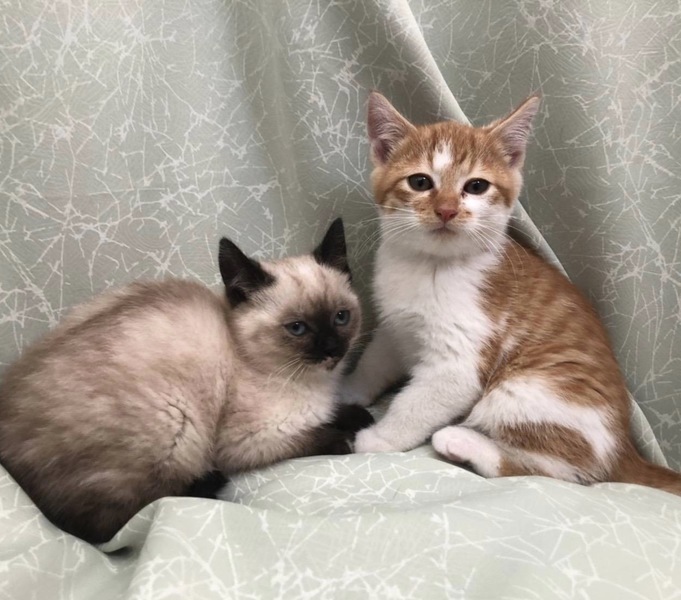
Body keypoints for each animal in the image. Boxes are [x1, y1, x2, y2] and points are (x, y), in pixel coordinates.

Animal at [0, 218, 373, 544]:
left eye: (341, 317)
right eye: (297, 328)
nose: (333, 351)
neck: (311, 382)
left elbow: (338, 412)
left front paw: (360, 416)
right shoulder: (248, 441)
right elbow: (319, 434)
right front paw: (345, 438)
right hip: (178, 426)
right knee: (104, 527)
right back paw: (209, 484)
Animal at [341, 91, 681, 496]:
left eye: (476, 187)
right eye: (420, 181)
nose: (447, 210)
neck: (429, 265)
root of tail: (626, 450)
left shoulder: (459, 358)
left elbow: (416, 404)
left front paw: (380, 438)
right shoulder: (395, 328)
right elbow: (375, 360)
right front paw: (347, 388)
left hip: (529, 391)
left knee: (564, 471)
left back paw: (460, 442)